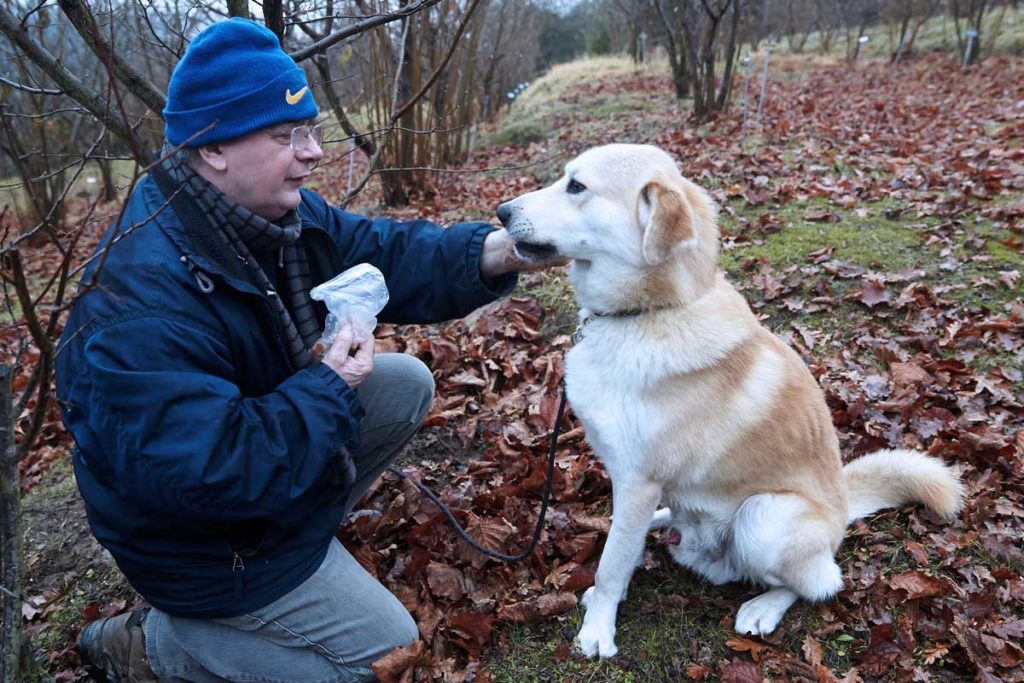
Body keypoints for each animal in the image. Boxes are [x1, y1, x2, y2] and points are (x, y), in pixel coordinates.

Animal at [495, 143, 958, 655]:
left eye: (576, 186)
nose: (501, 212)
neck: (648, 313)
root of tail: (842, 507)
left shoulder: (639, 482)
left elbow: (612, 565)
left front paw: (598, 630)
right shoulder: (632, 486)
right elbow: (619, 550)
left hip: (764, 518)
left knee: (817, 583)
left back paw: (763, 608)